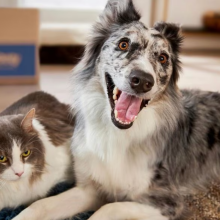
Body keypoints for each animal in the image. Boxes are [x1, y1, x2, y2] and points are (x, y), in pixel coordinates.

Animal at [12, 0, 220, 220]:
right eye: (123, 44)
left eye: (163, 58)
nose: (142, 81)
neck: (117, 133)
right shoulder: (89, 189)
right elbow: (39, 205)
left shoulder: (168, 203)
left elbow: (108, 208)